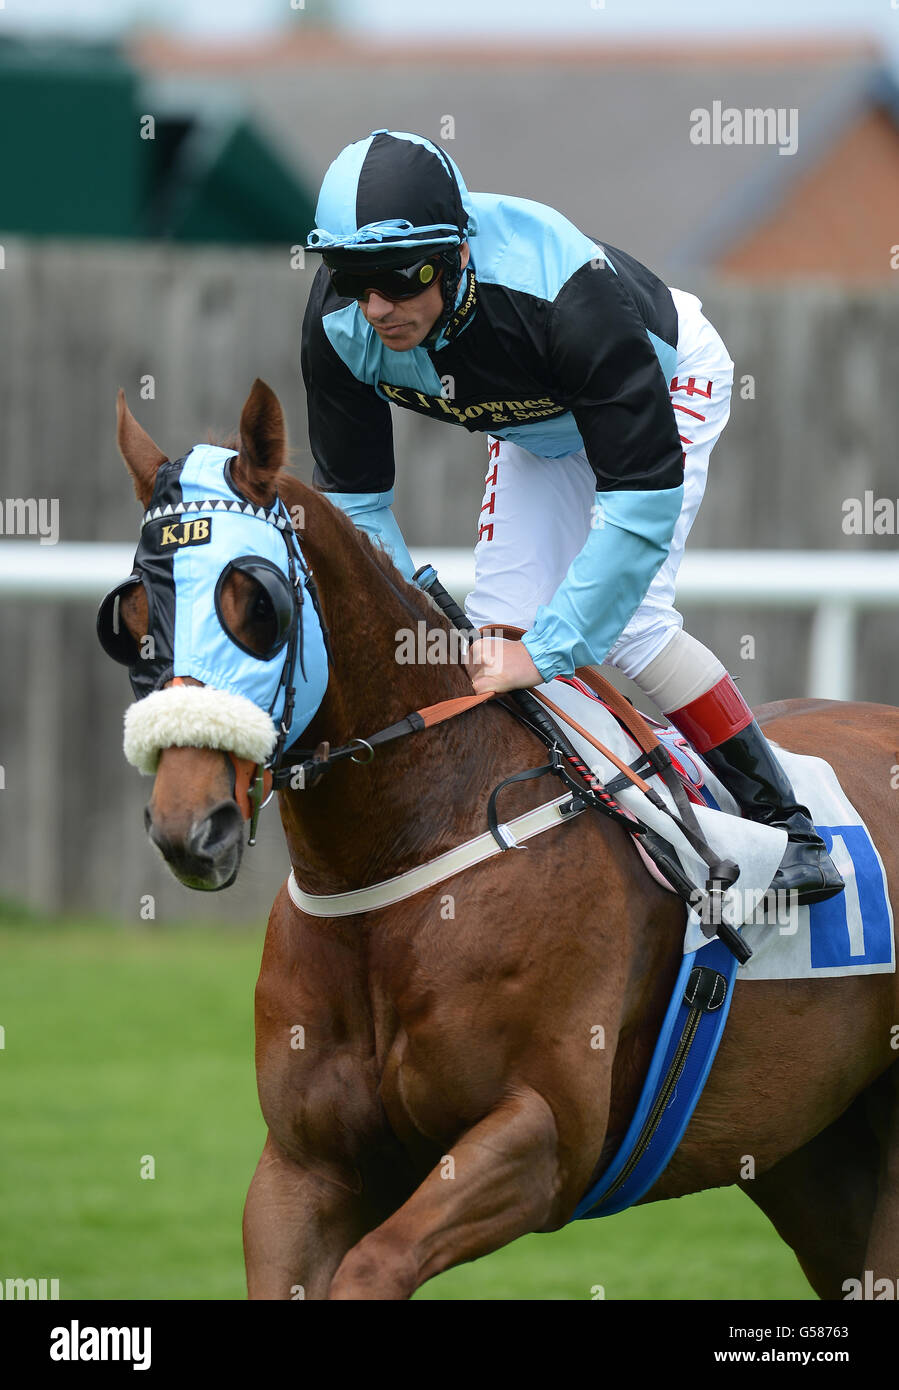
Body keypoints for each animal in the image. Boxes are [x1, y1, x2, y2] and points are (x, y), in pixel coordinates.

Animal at [106, 375, 899, 1295]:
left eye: (256, 605)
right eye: (130, 615)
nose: (189, 826)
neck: (399, 852)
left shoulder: (539, 1137)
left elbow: (372, 1268)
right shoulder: (303, 1167)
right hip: (810, 1157)